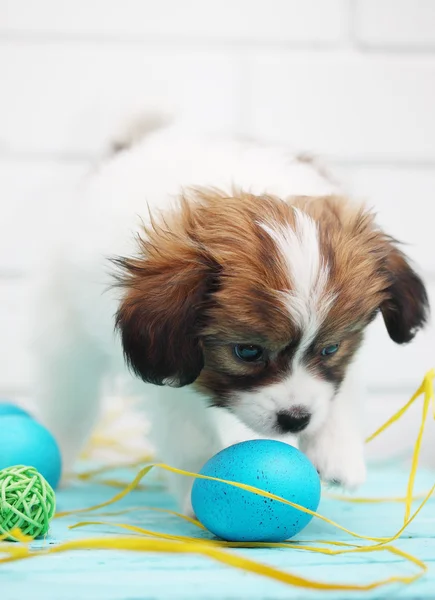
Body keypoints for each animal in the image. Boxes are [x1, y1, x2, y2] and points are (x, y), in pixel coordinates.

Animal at [32, 120, 428, 510]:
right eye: (248, 352)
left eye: (330, 349)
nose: (296, 420)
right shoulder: (171, 378)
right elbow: (189, 434)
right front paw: (201, 489)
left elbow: (337, 392)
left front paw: (337, 455)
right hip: (67, 339)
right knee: (70, 405)